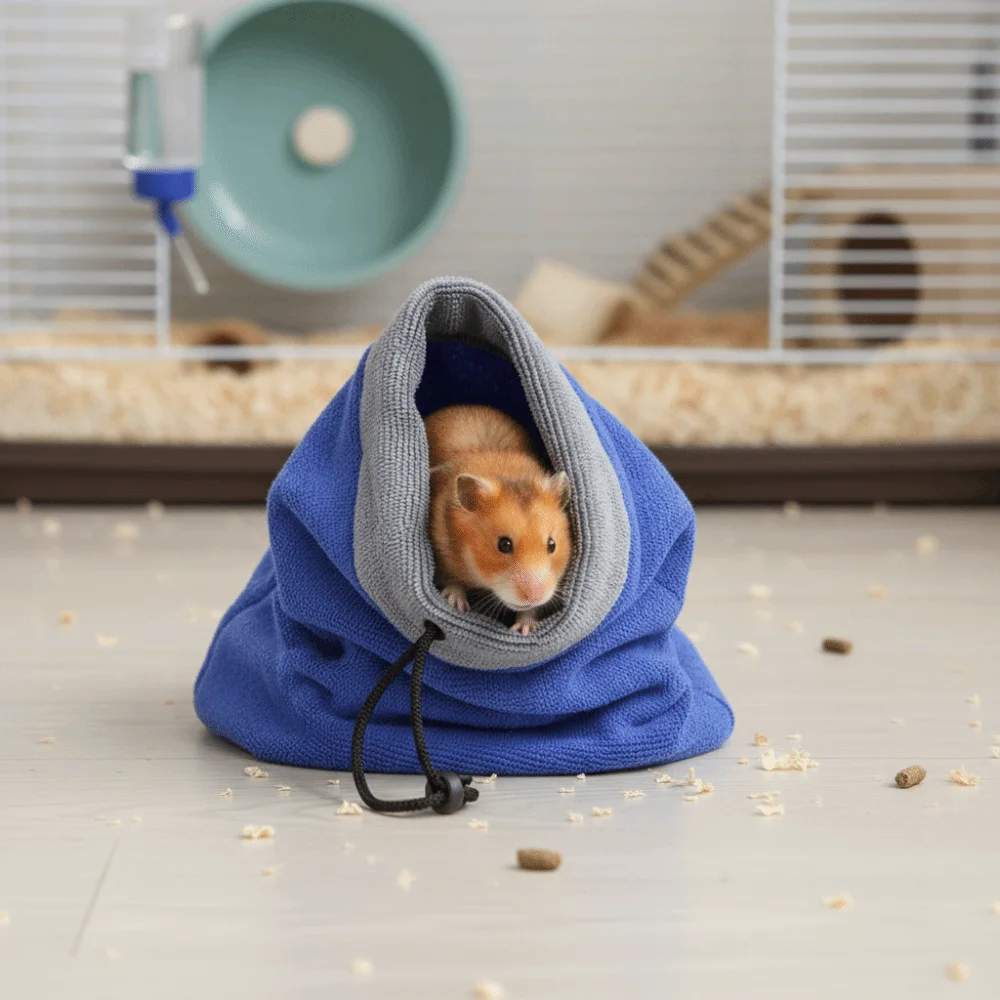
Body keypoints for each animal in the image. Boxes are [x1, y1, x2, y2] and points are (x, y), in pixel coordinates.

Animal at [424, 404, 572, 635]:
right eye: (504, 545)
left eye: (552, 545)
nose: (534, 597)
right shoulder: (442, 549)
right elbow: (451, 580)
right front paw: (457, 604)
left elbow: (529, 612)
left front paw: (525, 628)